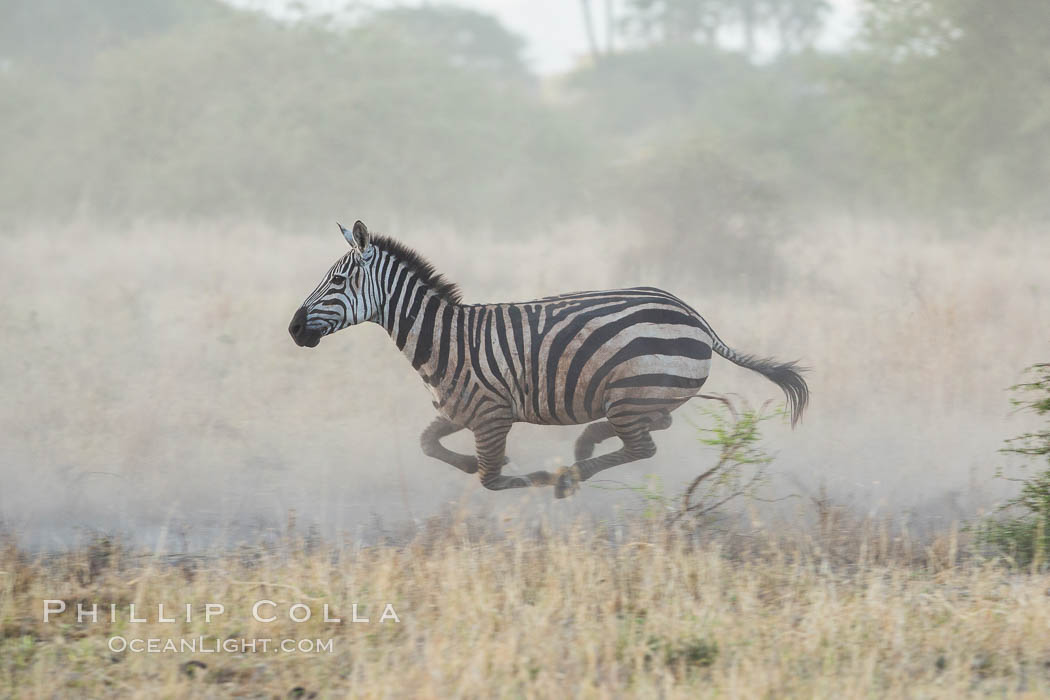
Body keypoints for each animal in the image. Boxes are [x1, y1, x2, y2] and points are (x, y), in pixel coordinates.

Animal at [283, 221, 806, 495]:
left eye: (336, 281)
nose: (292, 329)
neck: (444, 338)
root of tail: (696, 316)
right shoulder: (460, 411)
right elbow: (429, 444)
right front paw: (470, 463)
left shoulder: (491, 416)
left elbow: (492, 479)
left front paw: (538, 474)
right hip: (645, 393)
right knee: (655, 425)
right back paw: (585, 446)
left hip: (634, 391)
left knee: (644, 445)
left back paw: (571, 472)